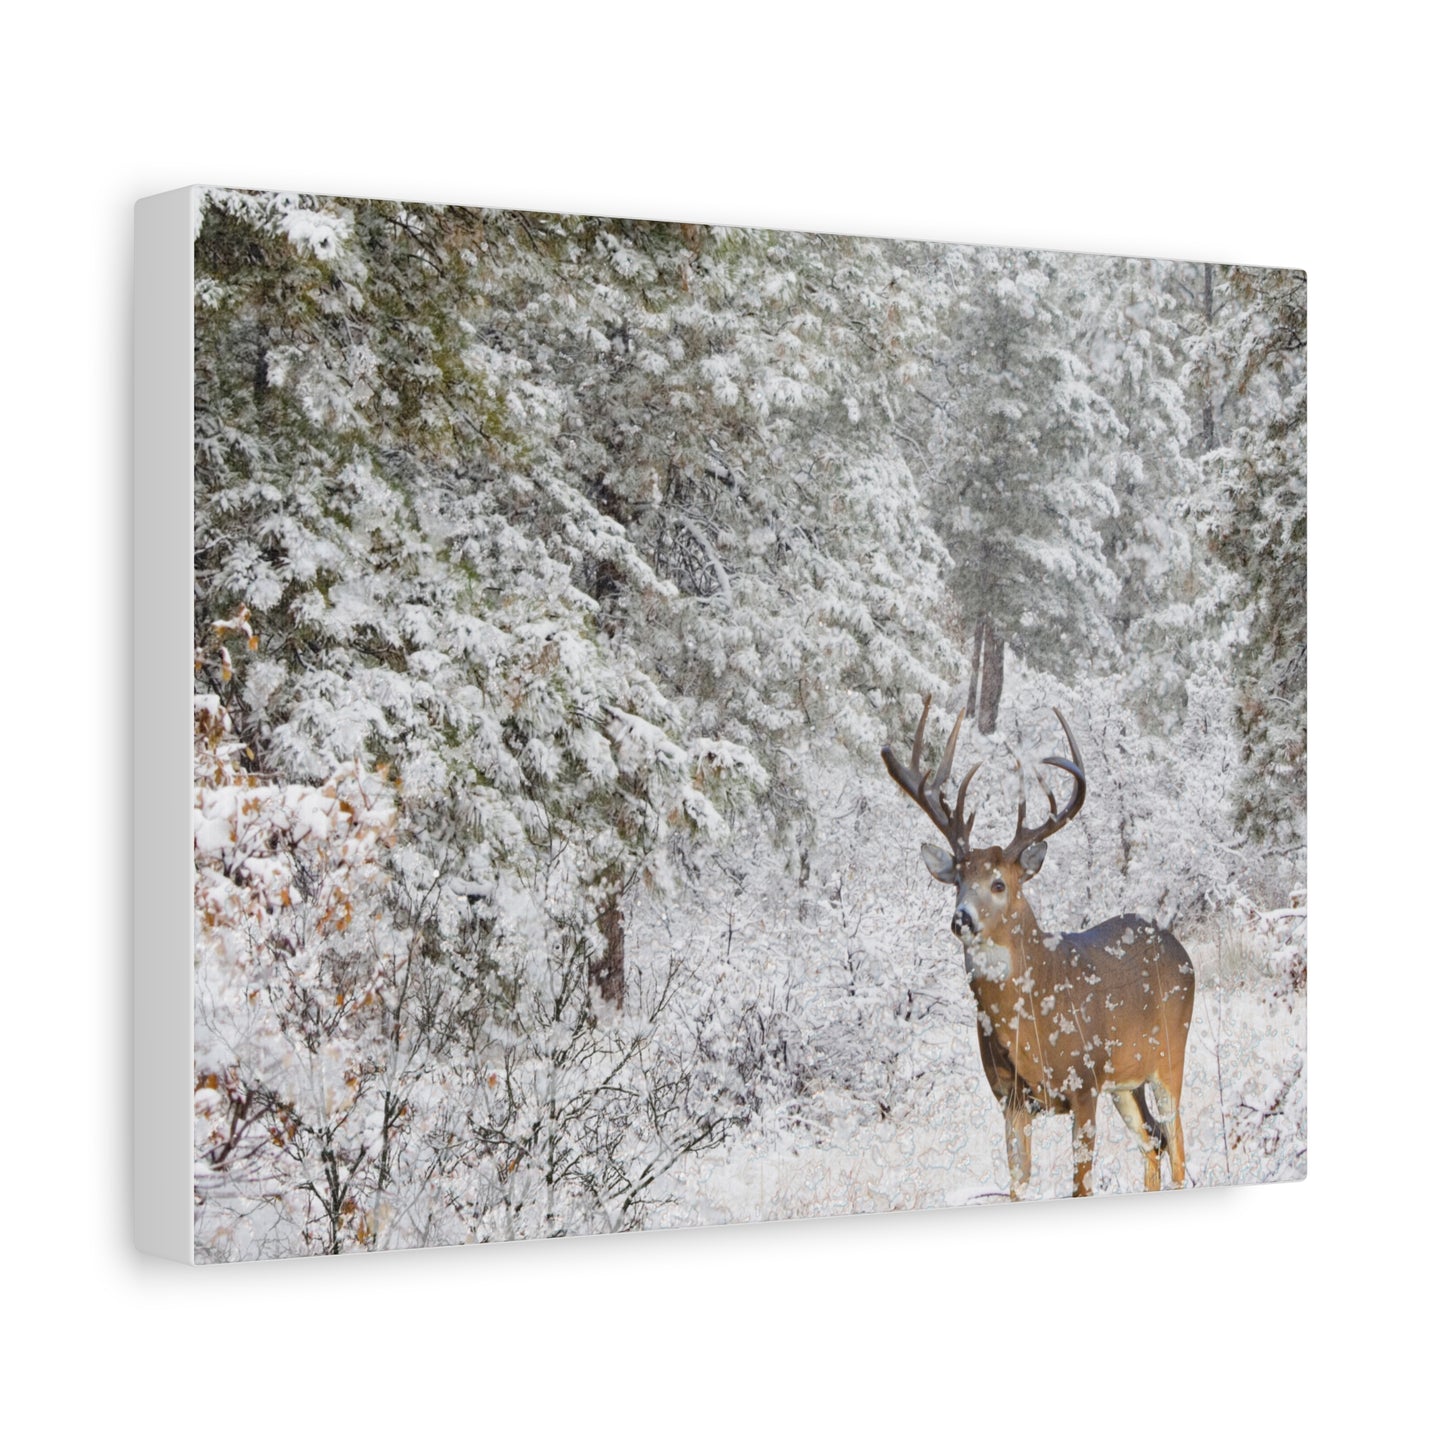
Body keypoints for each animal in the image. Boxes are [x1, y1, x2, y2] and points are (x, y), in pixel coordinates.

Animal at [883, 696, 1195, 1199]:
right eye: (957, 881)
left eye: (999, 884)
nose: (961, 918)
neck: (1034, 1022)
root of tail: (1177, 945)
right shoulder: (1010, 1098)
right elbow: (1017, 1187)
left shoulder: (1085, 1083)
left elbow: (1081, 1186)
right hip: (1126, 1083)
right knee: (1153, 1144)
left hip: (1169, 1053)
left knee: (1178, 1142)